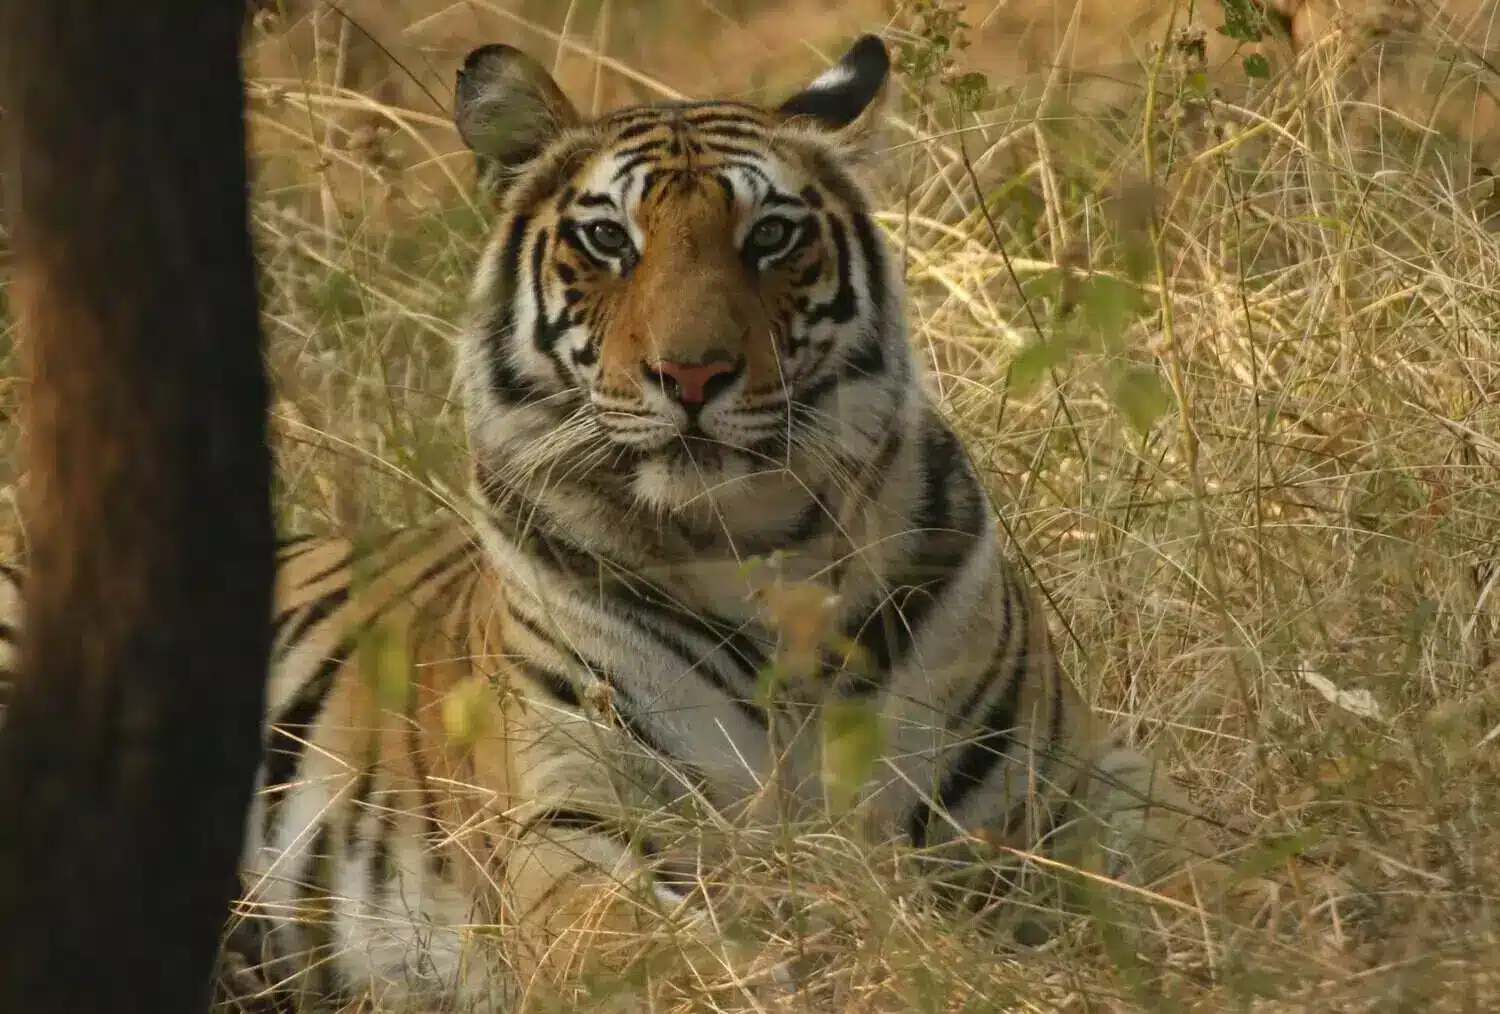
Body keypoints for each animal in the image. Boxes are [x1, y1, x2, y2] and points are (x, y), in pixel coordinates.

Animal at [0, 33, 1200, 1014]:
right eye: (609, 240)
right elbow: (665, 955)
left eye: (771, 236)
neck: (761, 550)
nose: (694, 373)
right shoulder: (578, 826)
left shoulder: (1056, 791)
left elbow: (1172, 870)